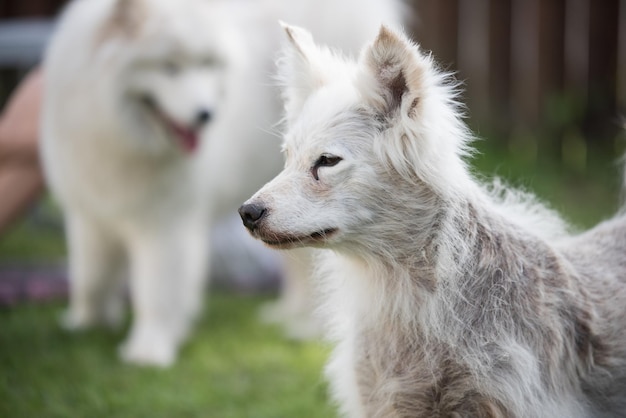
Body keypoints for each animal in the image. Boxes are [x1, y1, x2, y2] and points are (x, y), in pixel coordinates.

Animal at [40, 0, 400, 366]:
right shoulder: (89, 212)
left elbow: (156, 290)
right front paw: (86, 324)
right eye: (169, 67)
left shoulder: (167, 223)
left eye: (206, 65)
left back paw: (305, 328)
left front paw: (149, 349)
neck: (127, 139)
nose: (206, 115)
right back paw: (288, 314)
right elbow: (90, 277)